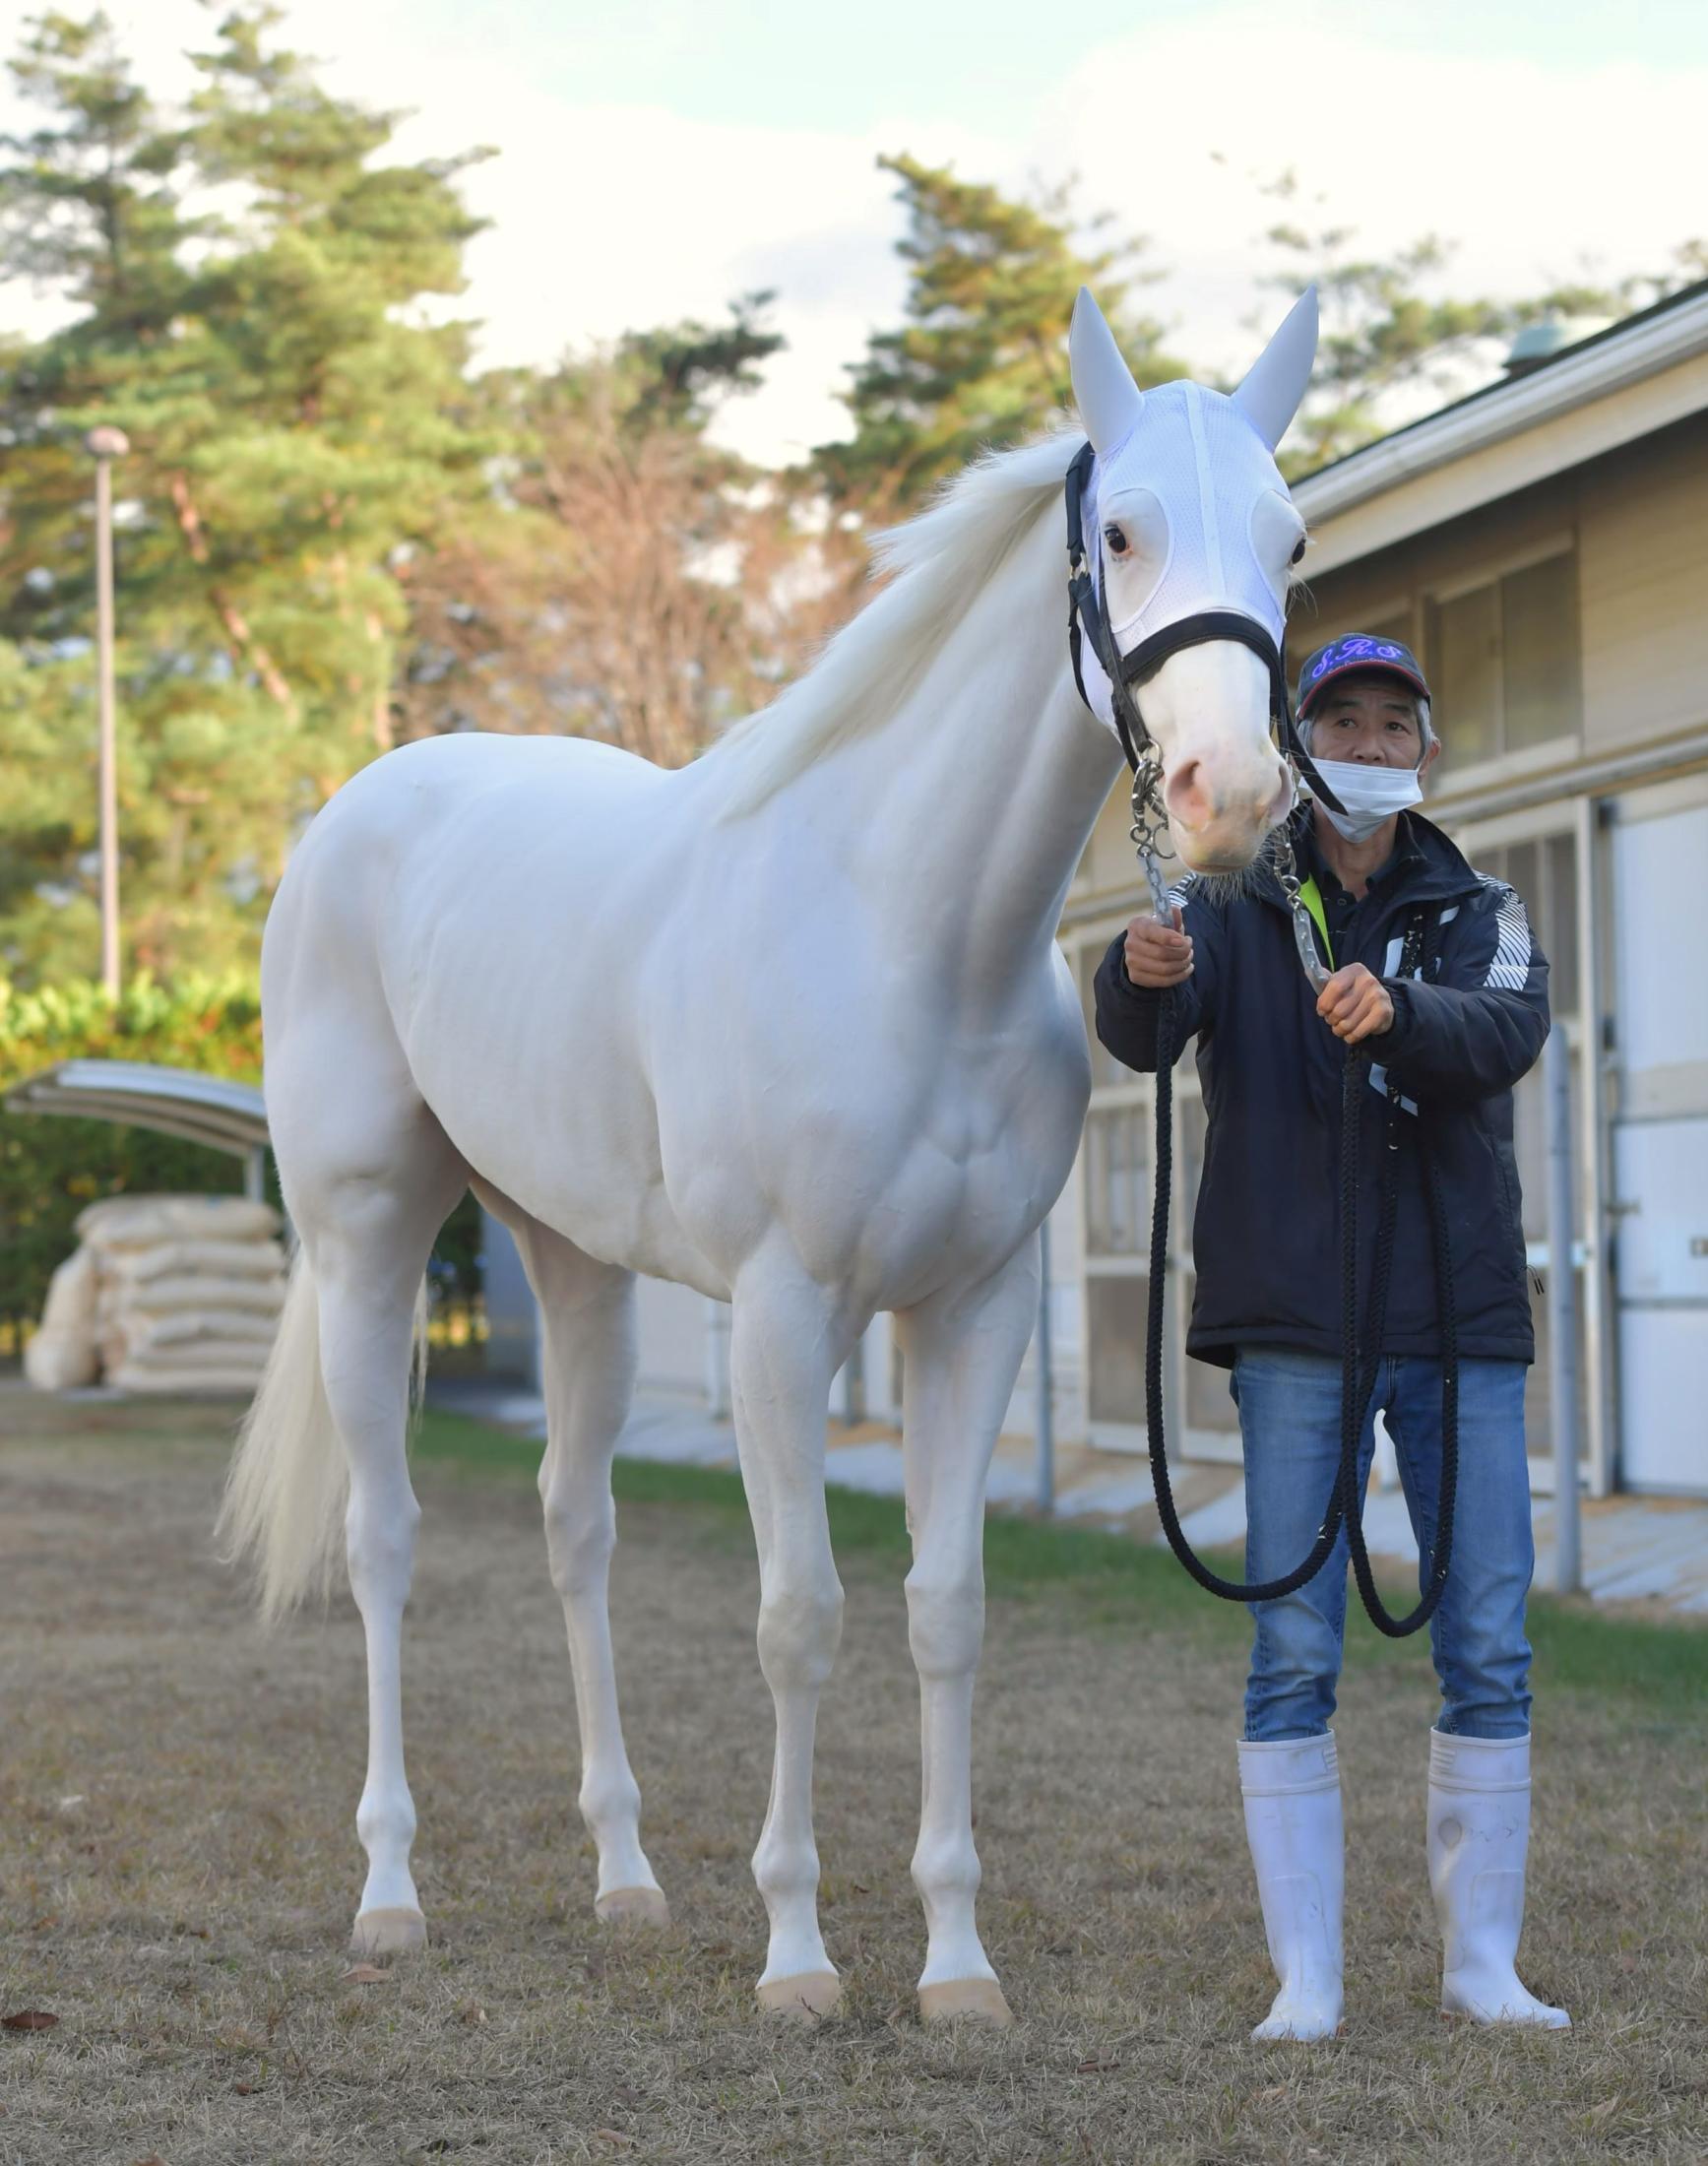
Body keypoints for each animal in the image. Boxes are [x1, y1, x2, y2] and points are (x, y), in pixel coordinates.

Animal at [222, 284, 1315, 2009]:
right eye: (1121, 532)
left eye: (1287, 538)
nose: (1231, 795)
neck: (907, 936)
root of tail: (353, 813)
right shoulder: (784, 1315)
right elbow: (798, 1616)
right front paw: (797, 1954)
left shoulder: (974, 1313)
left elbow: (945, 1612)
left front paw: (954, 1965)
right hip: (367, 1240)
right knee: (383, 1540)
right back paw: (389, 1893)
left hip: (574, 1264)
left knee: (575, 1529)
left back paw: (624, 1878)